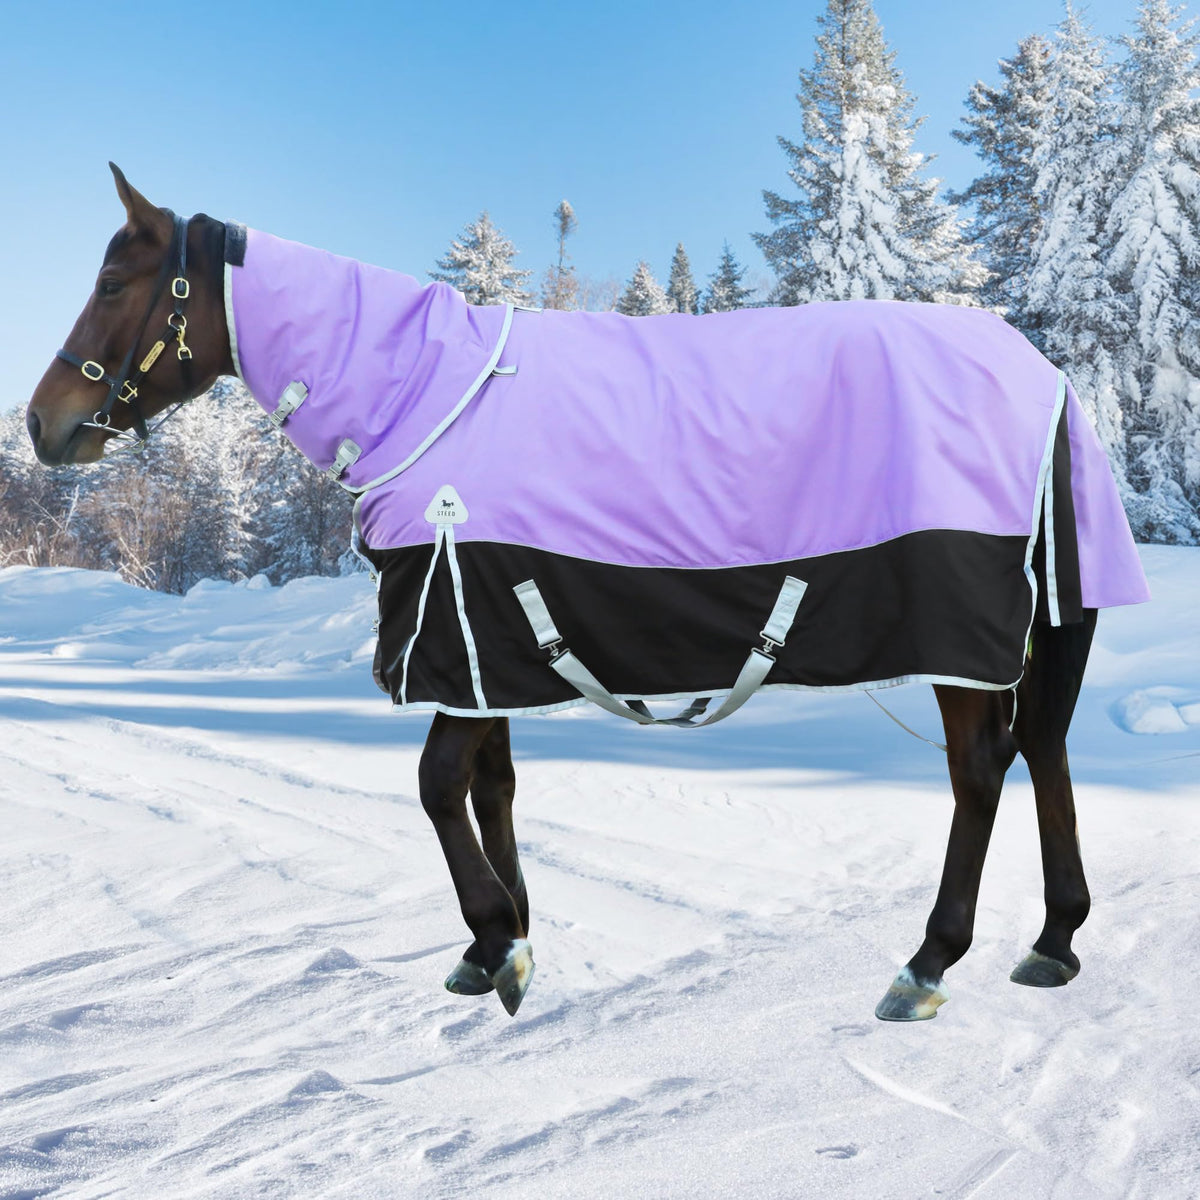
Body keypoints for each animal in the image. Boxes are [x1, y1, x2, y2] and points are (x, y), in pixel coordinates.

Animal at [25, 165, 1149, 1022]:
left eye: (116, 278)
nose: (42, 424)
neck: (422, 398)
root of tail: (1043, 375)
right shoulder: (482, 641)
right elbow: (490, 787)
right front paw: (498, 940)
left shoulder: (460, 627)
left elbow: (437, 787)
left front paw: (500, 944)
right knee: (1042, 747)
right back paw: (1054, 938)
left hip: (961, 636)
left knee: (983, 769)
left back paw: (928, 961)